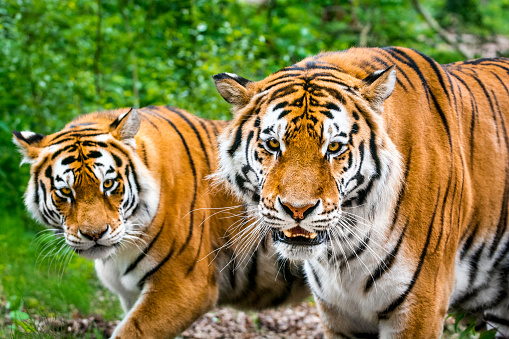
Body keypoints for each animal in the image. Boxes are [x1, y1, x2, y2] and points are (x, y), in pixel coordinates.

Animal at [11, 105, 308, 338]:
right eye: (65, 192)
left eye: (108, 184)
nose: (94, 234)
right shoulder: (132, 293)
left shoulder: (183, 286)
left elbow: (131, 332)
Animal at [212, 46, 508, 338]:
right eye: (273, 144)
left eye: (334, 147)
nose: (297, 209)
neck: (343, 250)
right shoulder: (339, 314)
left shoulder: (420, 307)